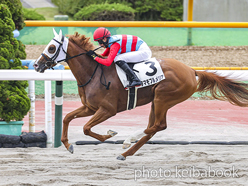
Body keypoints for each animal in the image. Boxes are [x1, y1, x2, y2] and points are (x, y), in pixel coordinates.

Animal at [34, 29, 248, 161]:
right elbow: (67, 118)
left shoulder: (108, 110)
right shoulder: (90, 107)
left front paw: (110, 134)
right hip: (157, 101)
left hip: (163, 97)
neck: (93, 73)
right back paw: (127, 149)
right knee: (153, 127)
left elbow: (86, 128)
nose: (36, 65)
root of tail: (191, 70)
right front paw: (68, 144)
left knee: (157, 126)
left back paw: (128, 144)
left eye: (51, 48)